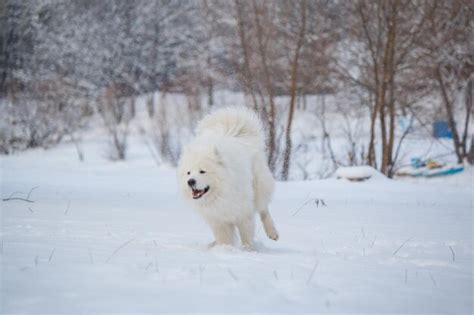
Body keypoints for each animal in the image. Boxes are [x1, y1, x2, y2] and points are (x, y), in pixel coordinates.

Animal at [178, 107, 278, 248]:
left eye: (202, 171)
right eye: (188, 173)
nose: (190, 181)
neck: (222, 191)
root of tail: (233, 133)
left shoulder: (243, 213)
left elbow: (246, 235)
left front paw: (248, 249)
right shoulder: (218, 220)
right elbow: (224, 239)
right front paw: (225, 249)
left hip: (259, 188)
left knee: (264, 209)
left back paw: (272, 233)